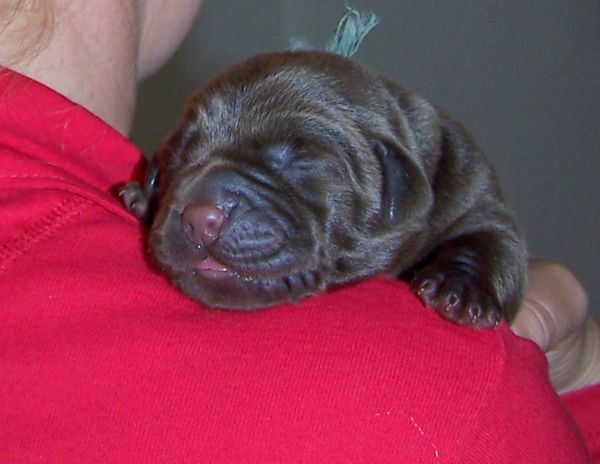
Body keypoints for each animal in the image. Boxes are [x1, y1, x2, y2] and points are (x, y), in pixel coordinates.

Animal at [120, 51, 527, 329]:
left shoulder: (472, 189)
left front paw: (460, 288)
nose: (200, 218)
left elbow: (492, 239)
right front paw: (141, 196)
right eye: (180, 155)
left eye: (299, 161)